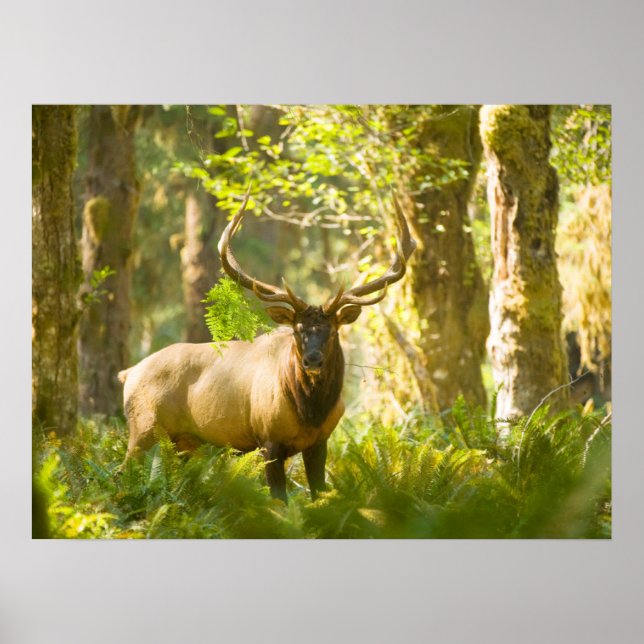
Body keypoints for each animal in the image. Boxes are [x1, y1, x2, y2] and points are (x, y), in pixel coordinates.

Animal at [118, 189, 416, 502]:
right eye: (297, 330)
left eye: (334, 331)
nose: (313, 360)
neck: (309, 412)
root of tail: (128, 373)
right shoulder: (268, 439)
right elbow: (279, 501)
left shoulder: (320, 441)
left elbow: (318, 494)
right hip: (143, 429)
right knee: (121, 472)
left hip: (184, 443)